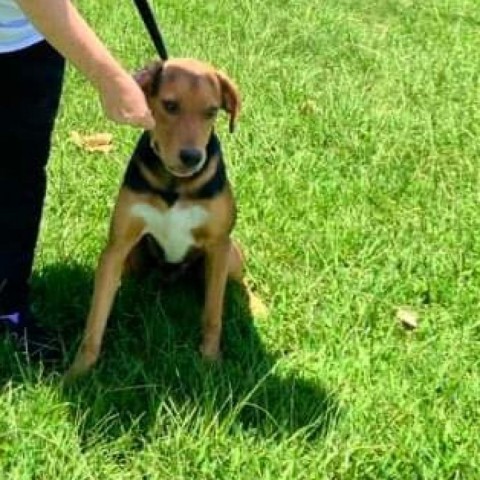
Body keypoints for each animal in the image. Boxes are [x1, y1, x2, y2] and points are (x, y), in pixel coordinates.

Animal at [65, 58, 248, 378]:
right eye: (170, 105)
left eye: (211, 111)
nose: (192, 157)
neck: (174, 185)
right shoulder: (117, 248)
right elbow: (95, 319)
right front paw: (78, 372)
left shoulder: (218, 246)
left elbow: (213, 314)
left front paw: (210, 362)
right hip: (133, 259)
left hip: (232, 257)